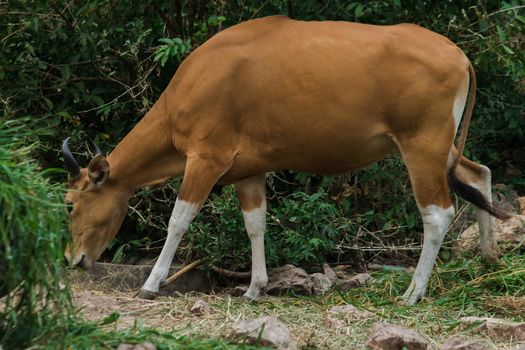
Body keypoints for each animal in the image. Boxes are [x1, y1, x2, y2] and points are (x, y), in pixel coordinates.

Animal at [62, 16, 508, 304]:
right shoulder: (249, 171)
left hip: (422, 144)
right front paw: (255, 288)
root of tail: (457, 53)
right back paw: (490, 258)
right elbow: (255, 225)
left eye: (69, 204)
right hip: (440, 146)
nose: (73, 259)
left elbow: (179, 220)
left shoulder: (205, 159)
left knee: (437, 213)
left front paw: (152, 283)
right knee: (478, 173)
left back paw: (413, 292)